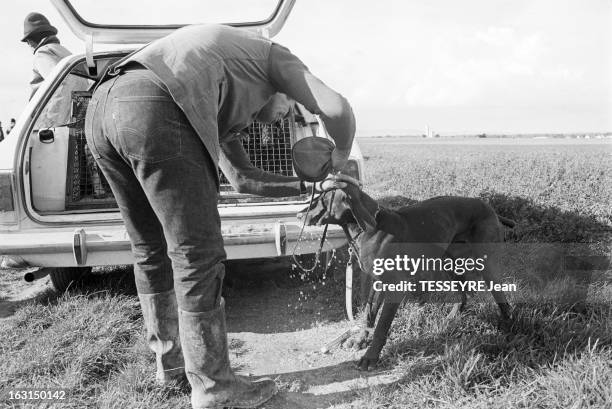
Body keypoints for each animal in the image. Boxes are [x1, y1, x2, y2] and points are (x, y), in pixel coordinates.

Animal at [298, 175, 512, 370]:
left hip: (486, 265)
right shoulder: (376, 282)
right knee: (465, 292)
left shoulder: (396, 287)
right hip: (448, 262)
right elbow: (368, 314)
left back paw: (508, 326)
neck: (369, 228)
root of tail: (490, 208)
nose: (300, 216)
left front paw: (371, 357)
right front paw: (360, 340)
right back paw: (452, 317)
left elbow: (381, 326)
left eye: (322, 199)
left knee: (501, 297)